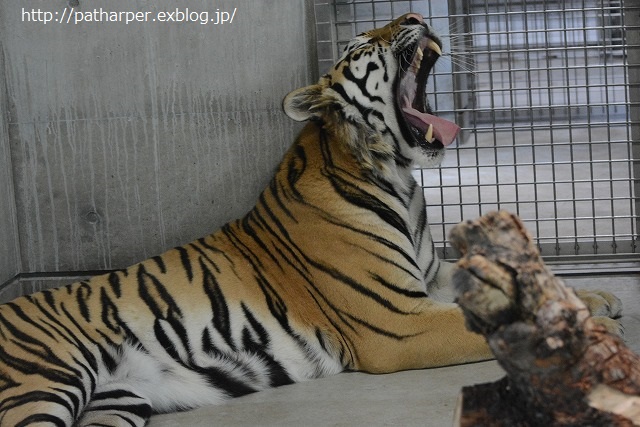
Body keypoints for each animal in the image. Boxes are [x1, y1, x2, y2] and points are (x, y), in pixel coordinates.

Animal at [0, 11, 620, 426]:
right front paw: (591, 330)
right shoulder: (399, 321)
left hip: (117, 400)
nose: (417, 16)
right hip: (41, 387)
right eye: (361, 41)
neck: (399, 176)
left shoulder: (430, 276)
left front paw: (592, 300)